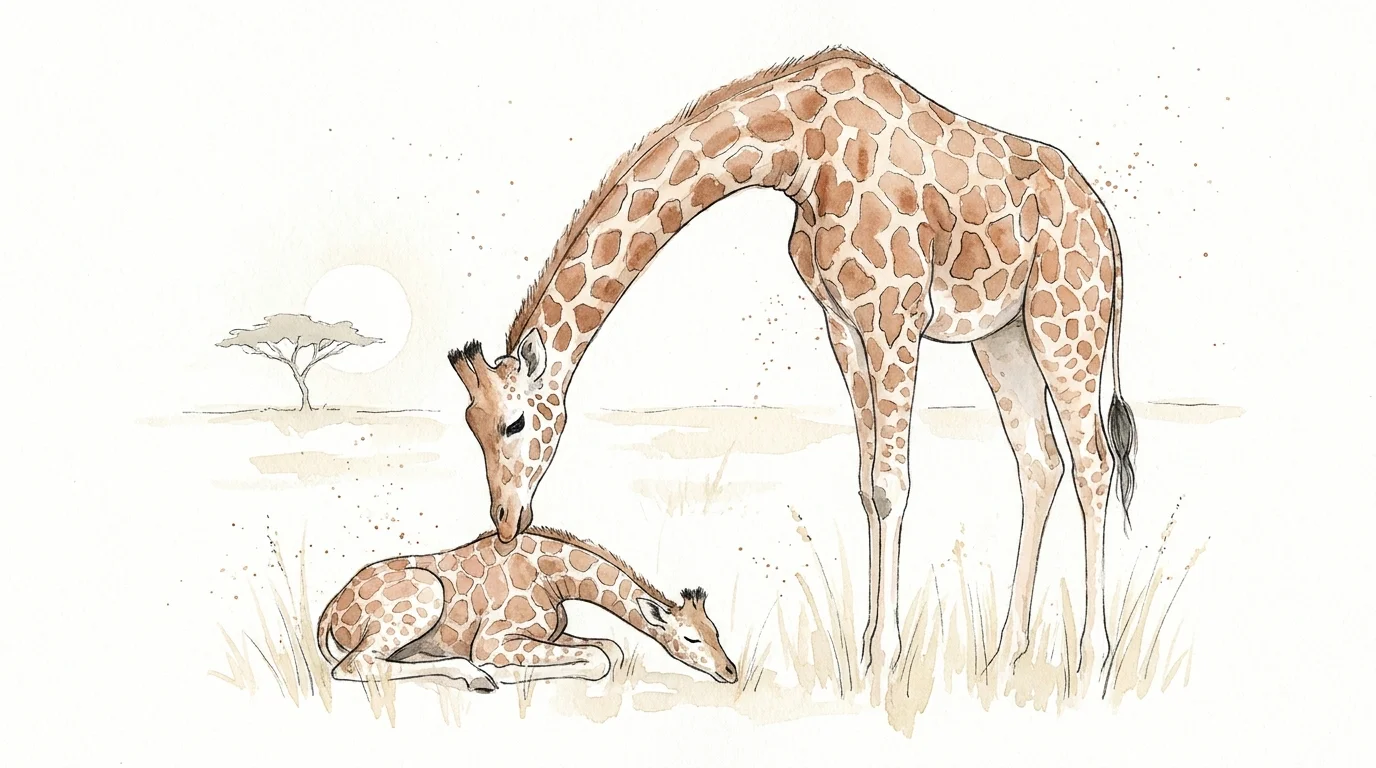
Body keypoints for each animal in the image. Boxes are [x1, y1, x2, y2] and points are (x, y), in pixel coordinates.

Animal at [316, 526, 737, 690]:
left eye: (716, 632)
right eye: (691, 638)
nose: (730, 672)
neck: (554, 577)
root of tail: (332, 609)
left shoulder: (550, 632)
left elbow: (610, 649)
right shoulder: (494, 641)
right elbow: (599, 658)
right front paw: (501, 673)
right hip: (425, 597)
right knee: (353, 665)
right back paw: (477, 677)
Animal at [446, 45, 1139, 683]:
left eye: (512, 423)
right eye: (470, 426)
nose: (505, 523)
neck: (802, 151)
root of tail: (1106, 227)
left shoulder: (895, 316)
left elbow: (892, 483)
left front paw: (885, 661)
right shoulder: (843, 323)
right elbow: (867, 485)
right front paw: (865, 655)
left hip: (1066, 321)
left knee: (1093, 463)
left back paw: (1093, 660)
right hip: (1005, 335)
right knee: (1040, 463)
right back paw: (1004, 656)